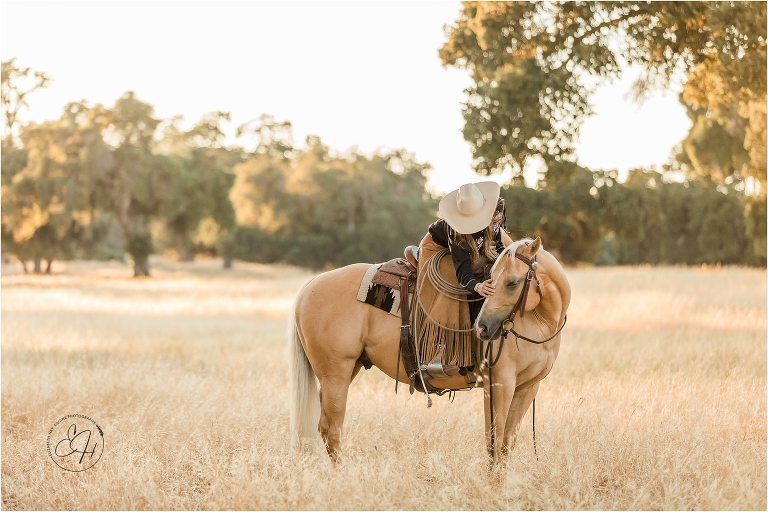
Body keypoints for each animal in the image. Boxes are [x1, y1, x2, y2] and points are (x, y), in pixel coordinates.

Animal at [288, 236, 570, 463]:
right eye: (495, 280)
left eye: (512, 283)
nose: (482, 327)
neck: (540, 320)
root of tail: (310, 284)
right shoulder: (499, 384)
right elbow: (494, 441)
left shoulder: (528, 387)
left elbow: (507, 443)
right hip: (335, 374)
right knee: (331, 429)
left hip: (343, 371)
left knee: (325, 428)